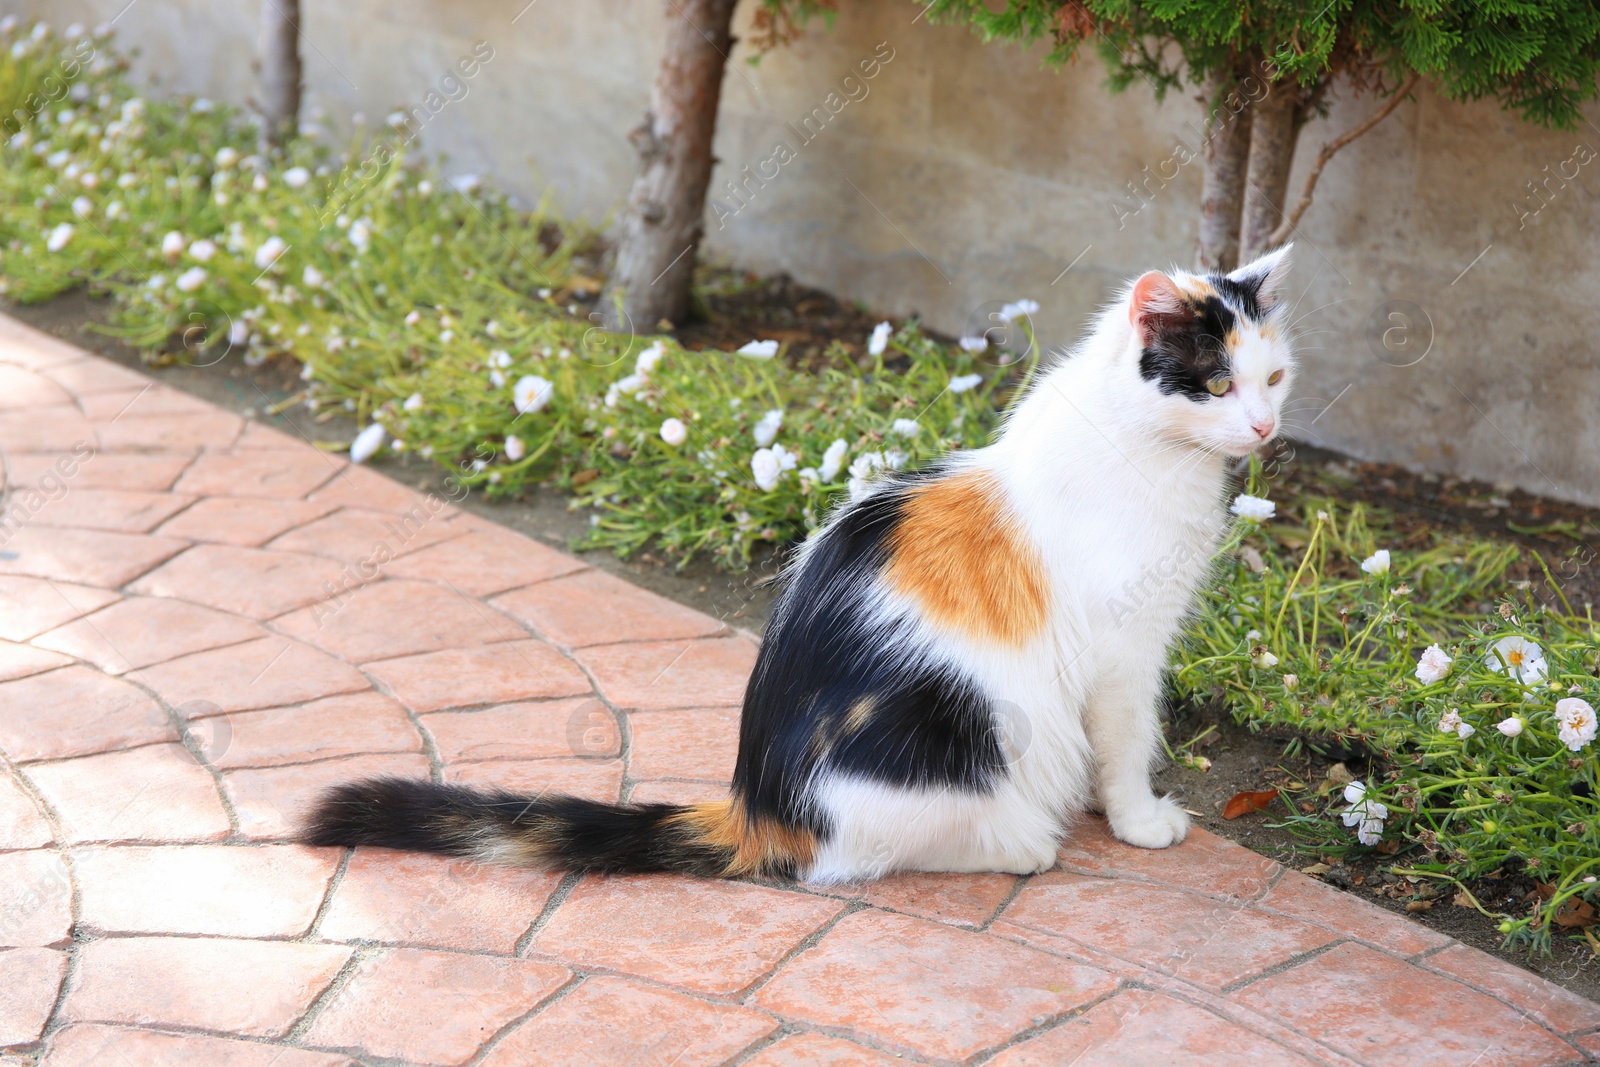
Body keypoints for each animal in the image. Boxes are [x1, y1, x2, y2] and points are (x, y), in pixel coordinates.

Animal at [302, 244, 1299, 883]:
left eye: (1275, 377)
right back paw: (1024, 843)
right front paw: (1138, 820)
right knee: (865, 856)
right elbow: (1129, 742)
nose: (1264, 427)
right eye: (1216, 383)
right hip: (968, 733)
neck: (1149, 450)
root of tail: (759, 803)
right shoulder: (1127, 650)